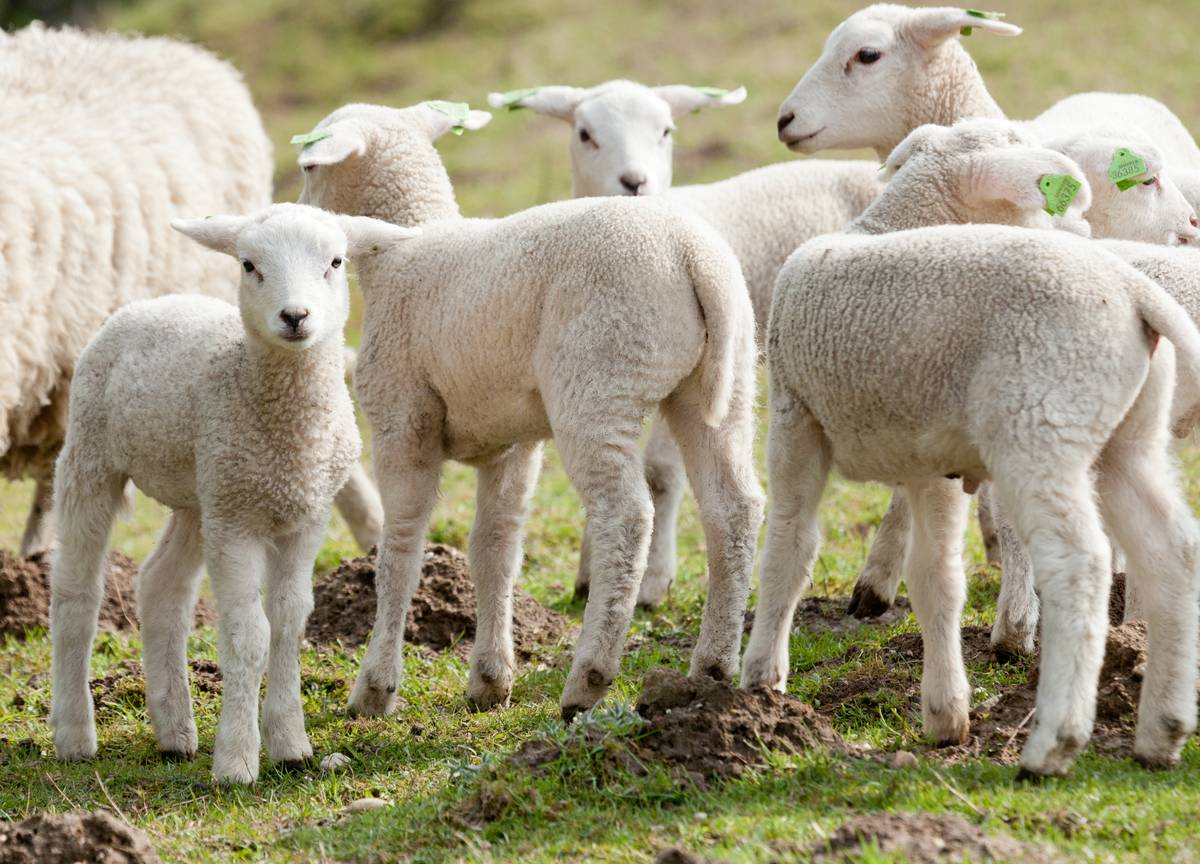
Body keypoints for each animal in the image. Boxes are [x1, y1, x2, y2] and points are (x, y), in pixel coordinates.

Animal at [50, 206, 412, 787]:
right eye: (248, 265)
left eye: (336, 262)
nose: (295, 316)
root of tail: (153, 302)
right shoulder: (238, 524)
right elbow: (249, 634)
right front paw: (238, 761)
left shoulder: (304, 516)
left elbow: (289, 621)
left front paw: (290, 745)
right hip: (93, 455)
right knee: (75, 593)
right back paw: (75, 734)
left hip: (202, 492)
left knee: (161, 585)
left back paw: (175, 730)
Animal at [295, 101, 763, 720]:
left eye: (309, 166)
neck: (404, 249)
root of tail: (693, 258)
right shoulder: (512, 441)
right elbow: (495, 548)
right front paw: (490, 680)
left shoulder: (403, 420)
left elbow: (399, 549)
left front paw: (375, 687)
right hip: (723, 385)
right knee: (734, 509)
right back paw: (711, 667)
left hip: (599, 380)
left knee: (627, 516)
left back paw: (589, 676)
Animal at [487, 81, 883, 607]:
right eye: (585, 133)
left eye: (666, 131)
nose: (634, 181)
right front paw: (590, 577)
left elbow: (658, 473)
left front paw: (652, 583)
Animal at [739, 220, 1200, 777]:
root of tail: (1134, 293)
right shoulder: (931, 455)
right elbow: (935, 576)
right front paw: (945, 712)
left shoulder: (796, 415)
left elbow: (789, 549)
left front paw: (762, 679)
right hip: (1129, 438)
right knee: (1171, 551)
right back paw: (1161, 731)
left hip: (1041, 419)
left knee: (1078, 563)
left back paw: (1053, 744)